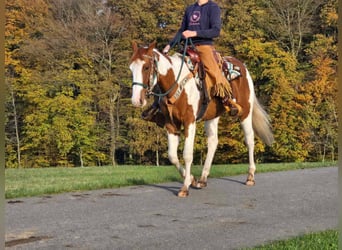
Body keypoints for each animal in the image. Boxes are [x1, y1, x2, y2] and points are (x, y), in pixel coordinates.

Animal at [130, 41, 274, 197]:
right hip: (212, 116)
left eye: (146, 67)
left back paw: (250, 177)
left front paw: (185, 187)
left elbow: (187, 154)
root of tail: (243, 66)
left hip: (245, 112)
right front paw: (192, 179)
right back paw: (203, 179)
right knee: (213, 142)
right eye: (131, 68)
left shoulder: (189, 121)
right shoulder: (171, 125)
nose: (136, 100)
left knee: (249, 140)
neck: (177, 83)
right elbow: (172, 156)